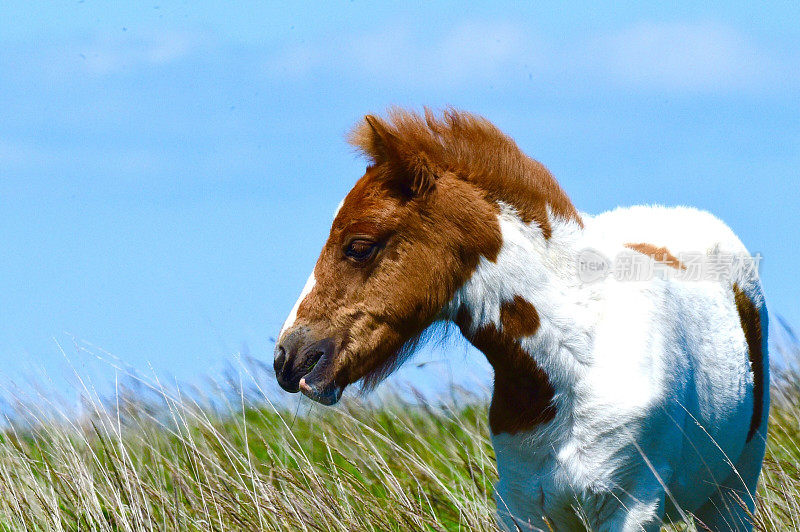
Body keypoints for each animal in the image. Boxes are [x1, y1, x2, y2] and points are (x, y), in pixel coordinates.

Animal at [274, 109, 768, 532]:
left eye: (359, 246)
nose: (290, 359)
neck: (575, 367)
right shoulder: (522, 506)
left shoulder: (631, 508)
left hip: (734, 493)